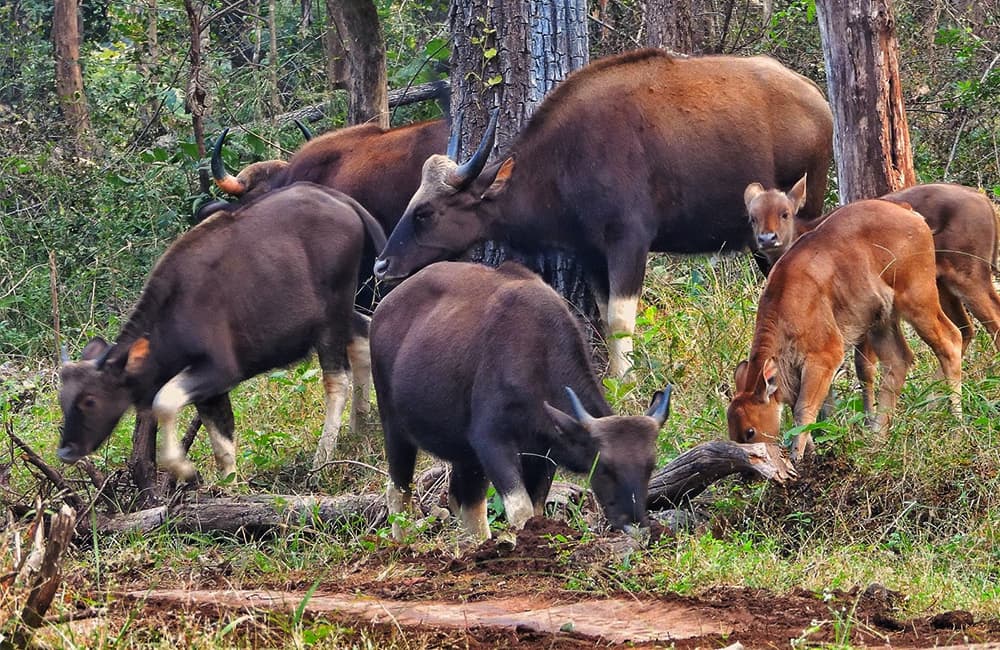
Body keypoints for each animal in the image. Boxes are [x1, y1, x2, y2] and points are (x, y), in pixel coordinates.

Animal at [374, 260, 672, 540]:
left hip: (465, 454)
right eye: (605, 467)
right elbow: (521, 510)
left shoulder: (544, 453)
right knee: (398, 491)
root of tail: (383, 307)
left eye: (650, 466)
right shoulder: (491, 441)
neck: (538, 358)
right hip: (395, 427)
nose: (636, 527)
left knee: (465, 503)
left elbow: (535, 510)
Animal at [728, 200, 960, 458]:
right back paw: (876, 438)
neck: (785, 303)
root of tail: (908, 211)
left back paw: (957, 426)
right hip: (882, 321)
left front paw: (798, 457)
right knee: (898, 360)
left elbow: (804, 410)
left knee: (951, 340)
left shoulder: (824, 357)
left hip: (919, 302)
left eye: (750, 431)